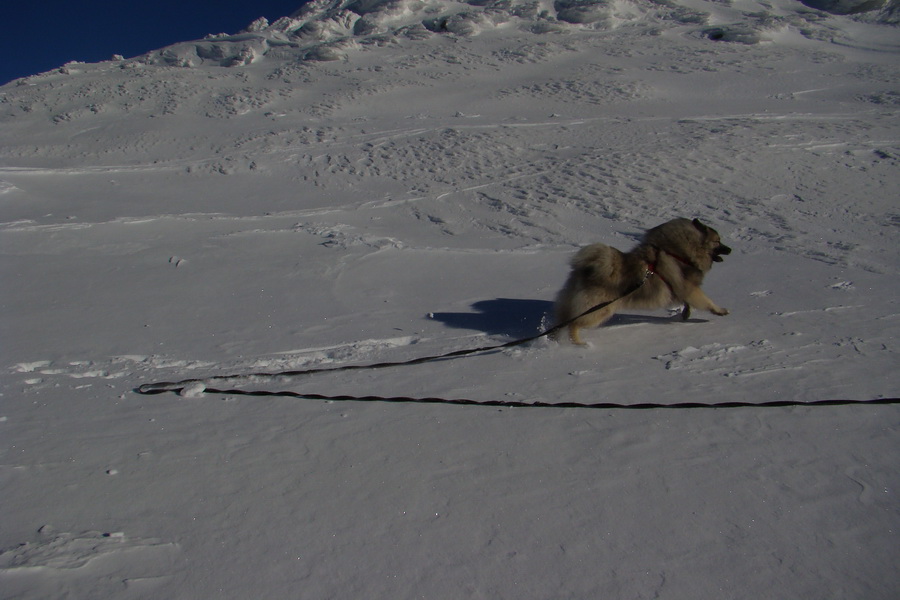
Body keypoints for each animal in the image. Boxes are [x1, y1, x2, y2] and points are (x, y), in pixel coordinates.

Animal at [548, 218, 732, 344]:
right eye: (717, 241)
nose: (730, 249)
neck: (679, 252)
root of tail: (585, 271)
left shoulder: (683, 288)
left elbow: (688, 301)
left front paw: (686, 313)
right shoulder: (689, 287)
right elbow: (706, 301)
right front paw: (720, 310)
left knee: (562, 323)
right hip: (599, 310)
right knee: (574, 325)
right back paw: (580, 344)